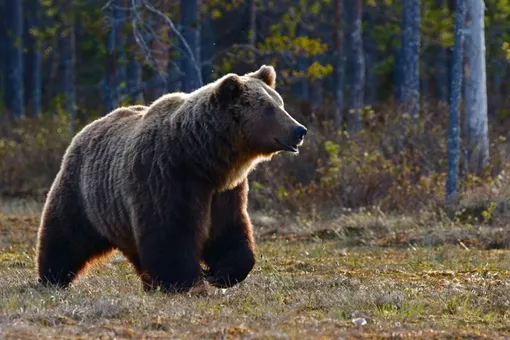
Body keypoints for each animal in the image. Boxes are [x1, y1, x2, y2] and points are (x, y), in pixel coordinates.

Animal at [36, 65, 306, 292]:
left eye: (280, 103)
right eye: (269, 109)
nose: (299, 130)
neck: (202, 158)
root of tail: (86, 128)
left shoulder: (225, 191)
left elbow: (229, 231)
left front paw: (219, 273)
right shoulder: (166, 177)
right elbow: (171, 234)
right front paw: (185, 281)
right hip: (83, 192)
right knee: (65, 235)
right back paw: (52, 277)